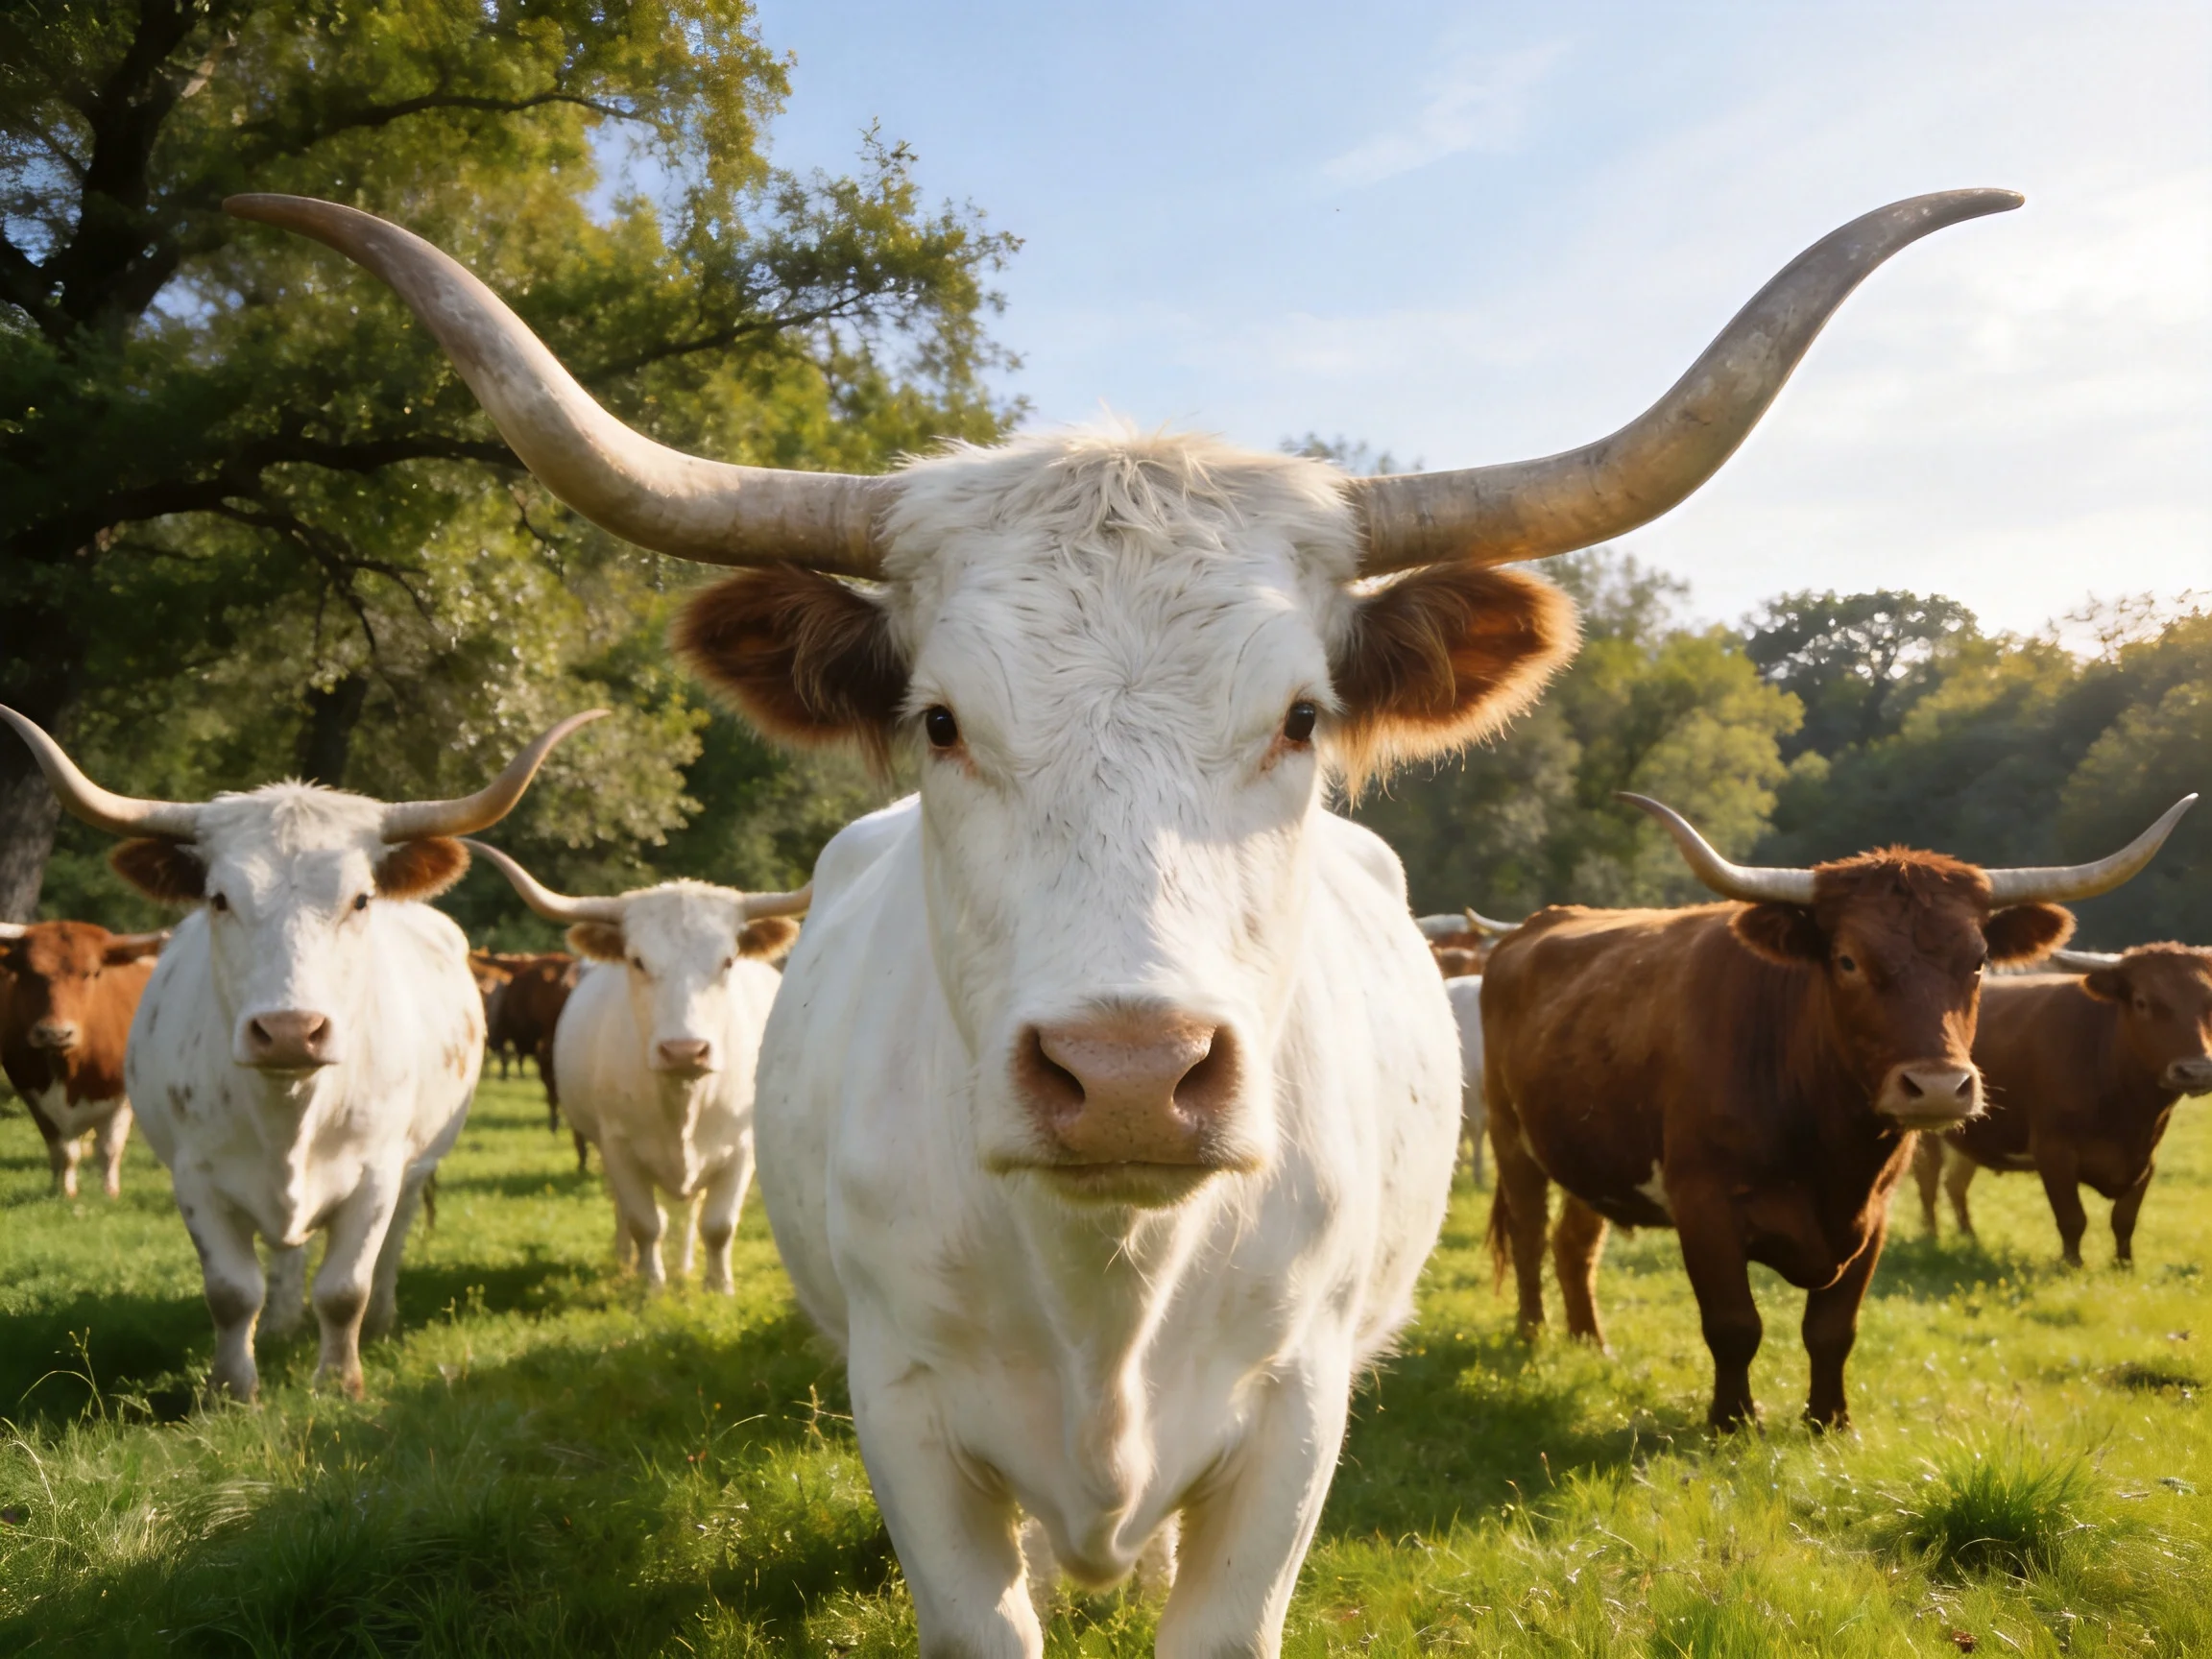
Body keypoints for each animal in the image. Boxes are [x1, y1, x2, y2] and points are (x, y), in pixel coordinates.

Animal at [0, 920, 166, 1196]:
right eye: (29, 972)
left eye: (91, 973)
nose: (55, 1033)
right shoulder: (34, 1096)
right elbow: (63, 1151)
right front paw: (64, 1192)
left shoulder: (121, 1098)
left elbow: (109, 1148)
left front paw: (110, 1193)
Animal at [465, 843, 806, 1289]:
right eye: (638, 961)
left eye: (728, 961)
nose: (685, 1050)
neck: (682, 1100)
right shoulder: (618, 1148)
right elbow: (646, 1222)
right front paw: (651, 1285)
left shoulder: (740, 1147)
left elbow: (718, 1224)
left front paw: (718, 1286)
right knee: (628, 1211)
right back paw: (627, 1260)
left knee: (689, 1209)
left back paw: (685, 1265)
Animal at [1915, 942, 2212, 1265]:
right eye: (2142, 1002)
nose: (2196, 1071)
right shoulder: (2053, 1152)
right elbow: (2072, 1218)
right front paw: (2073, 1265)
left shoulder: (2147, 1158)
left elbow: (2124, 1219)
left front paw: (2124, 1265)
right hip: (1926, 1132)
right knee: (1928, 1182)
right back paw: (1931, 1237)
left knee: (1955, 1184)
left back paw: (1969, 1238)